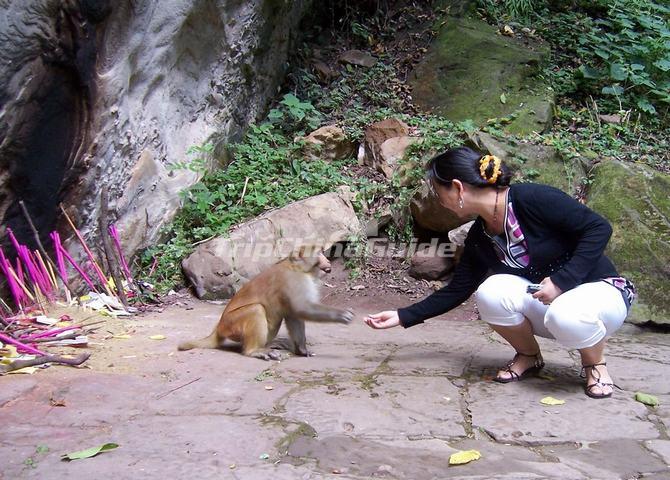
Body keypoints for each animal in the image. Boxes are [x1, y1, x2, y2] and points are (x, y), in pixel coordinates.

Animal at [181, 248, 354, 360]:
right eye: (318, 253)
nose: (327, 259)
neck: (296, 267)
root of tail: (218, 327)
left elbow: (293, 314)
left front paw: (302, 350)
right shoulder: (293, 281)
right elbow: (301, 308)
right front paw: (341, 314)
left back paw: (270, 344)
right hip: (231, 325)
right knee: (256, 309)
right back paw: (254, 350)